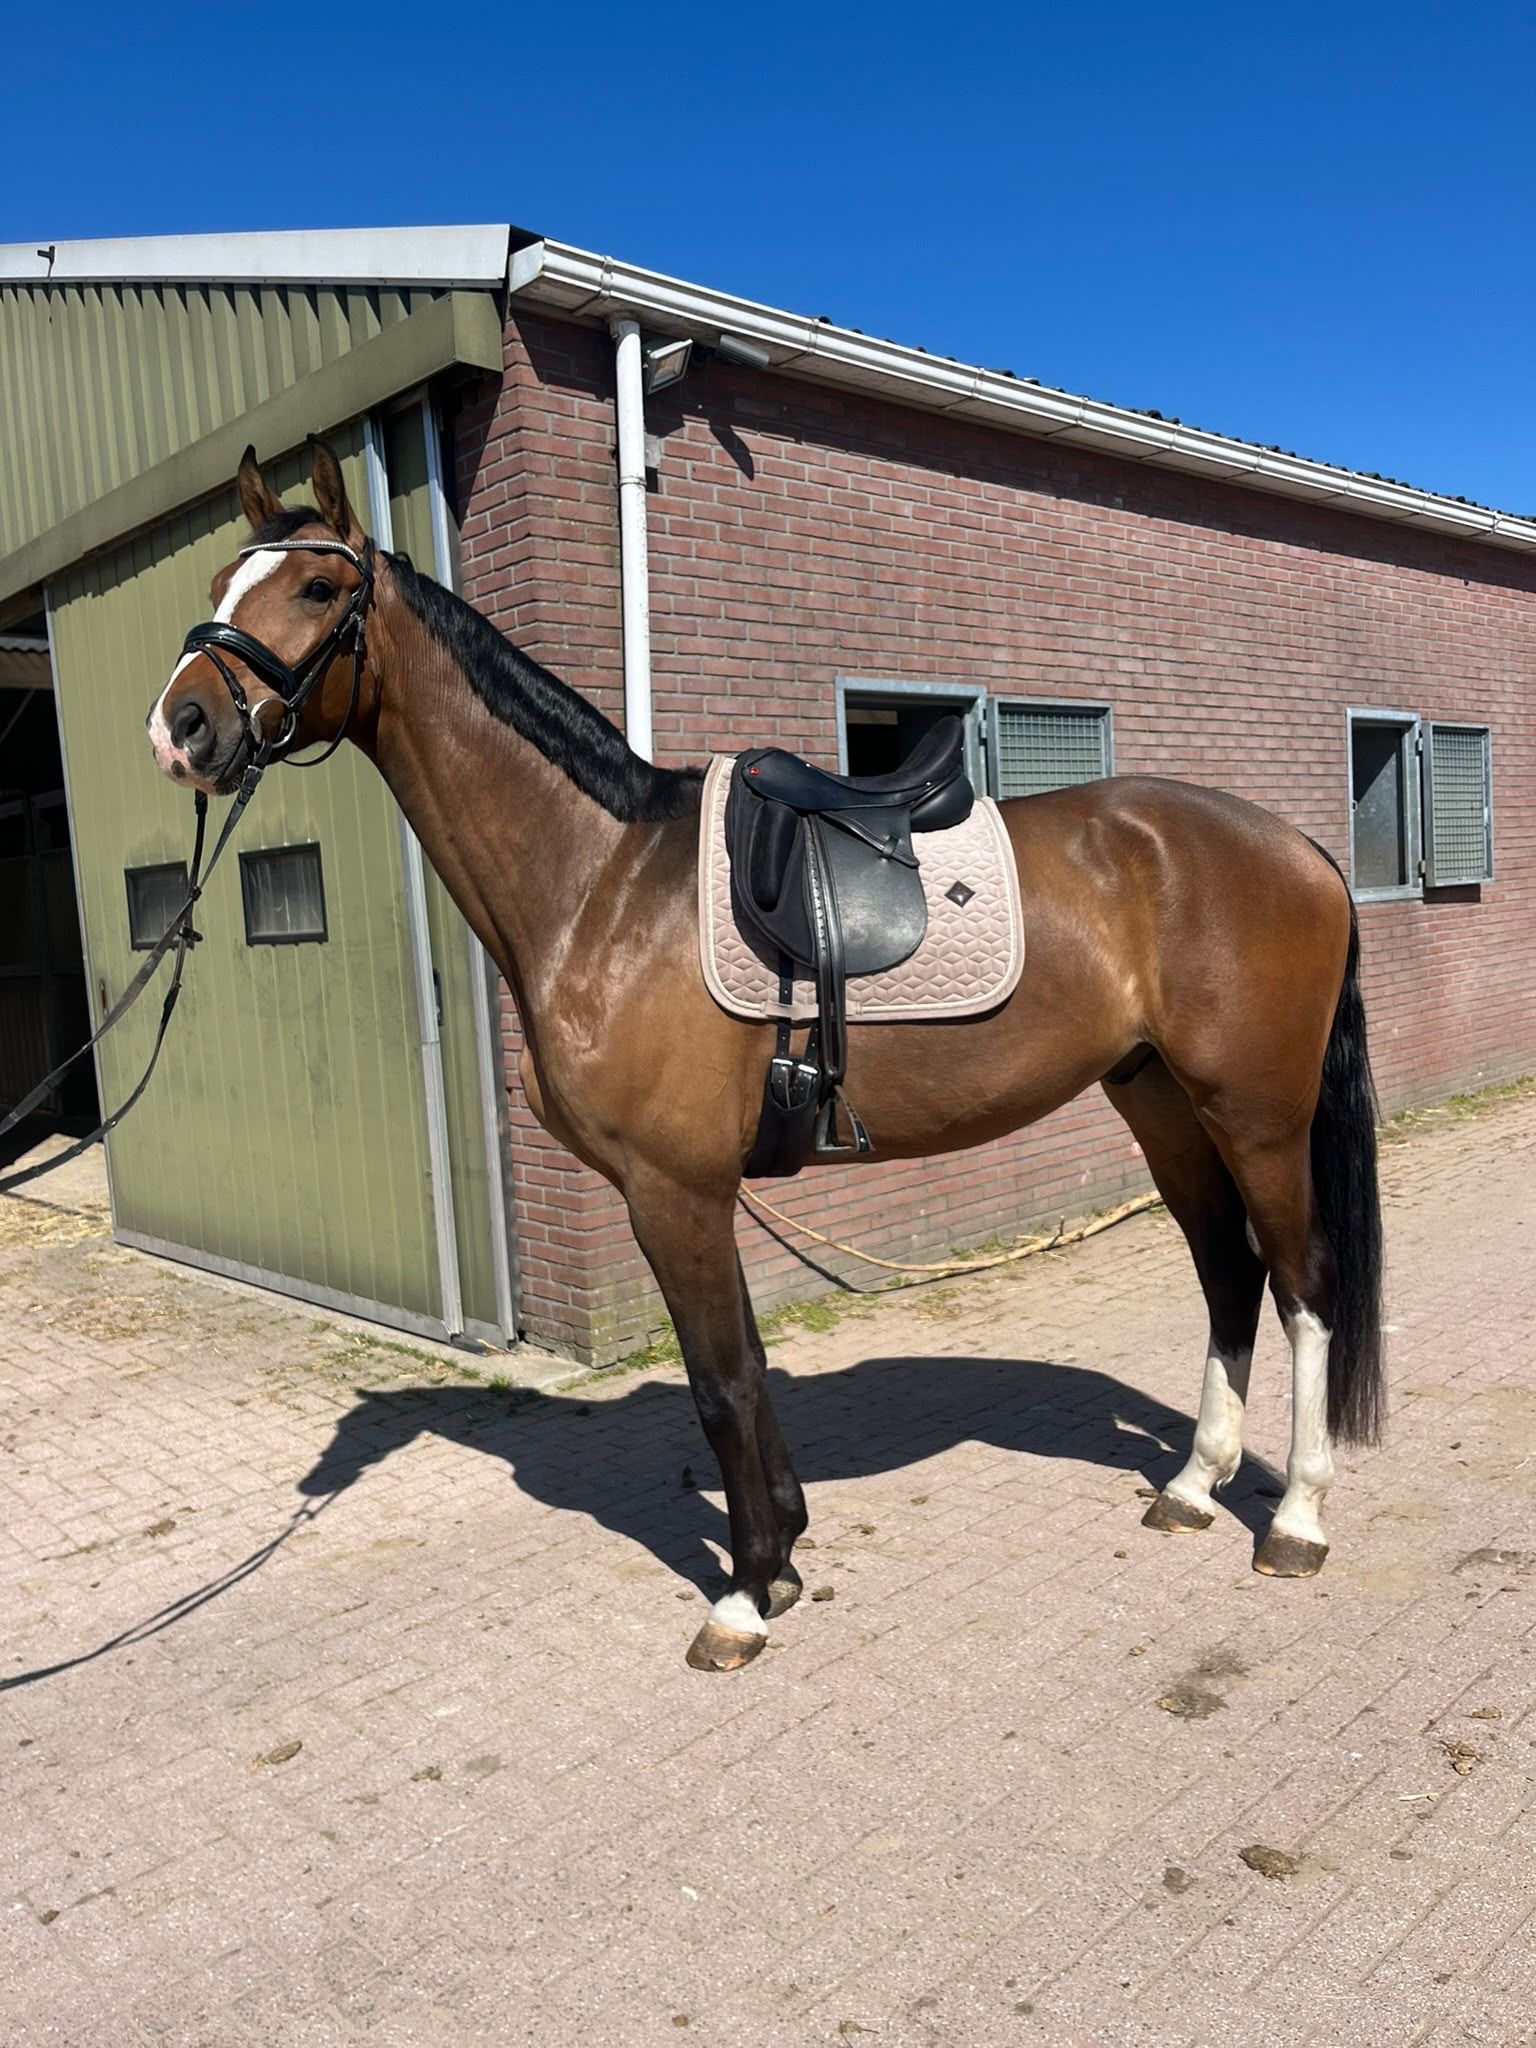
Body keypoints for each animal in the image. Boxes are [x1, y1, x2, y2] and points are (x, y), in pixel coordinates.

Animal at [146, 438, 1384, 1672]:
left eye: (318, 587)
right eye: (215, 582)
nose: (181, 728)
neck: (600, 884)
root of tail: (1297, 846)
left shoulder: (672, 1190)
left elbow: (722, 1382)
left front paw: (741, 1594)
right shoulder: (696, 1190)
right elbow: (740, 1366)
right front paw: (781, 1556)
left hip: (1256, 1113)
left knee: (1304, 1283)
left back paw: (1296, 1519)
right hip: (1162, 1103)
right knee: (1228, 1275)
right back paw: (1191, 1486)